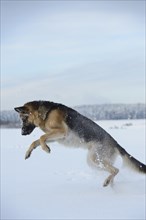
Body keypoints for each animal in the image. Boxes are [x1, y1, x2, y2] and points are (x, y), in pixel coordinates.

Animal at [14, 100, 145, 186]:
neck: (46, 114)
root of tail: (116, 143)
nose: (22, 133)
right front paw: (28, 153)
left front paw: (46, 149)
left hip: (95, 159)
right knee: (113, 172)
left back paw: (107, 182)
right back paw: (111, 186)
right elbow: (35, 142)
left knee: (116, 170)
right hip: (94, 163)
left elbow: (41, 137)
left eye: (23, 119)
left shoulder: (61, 132)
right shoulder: (56, 137)